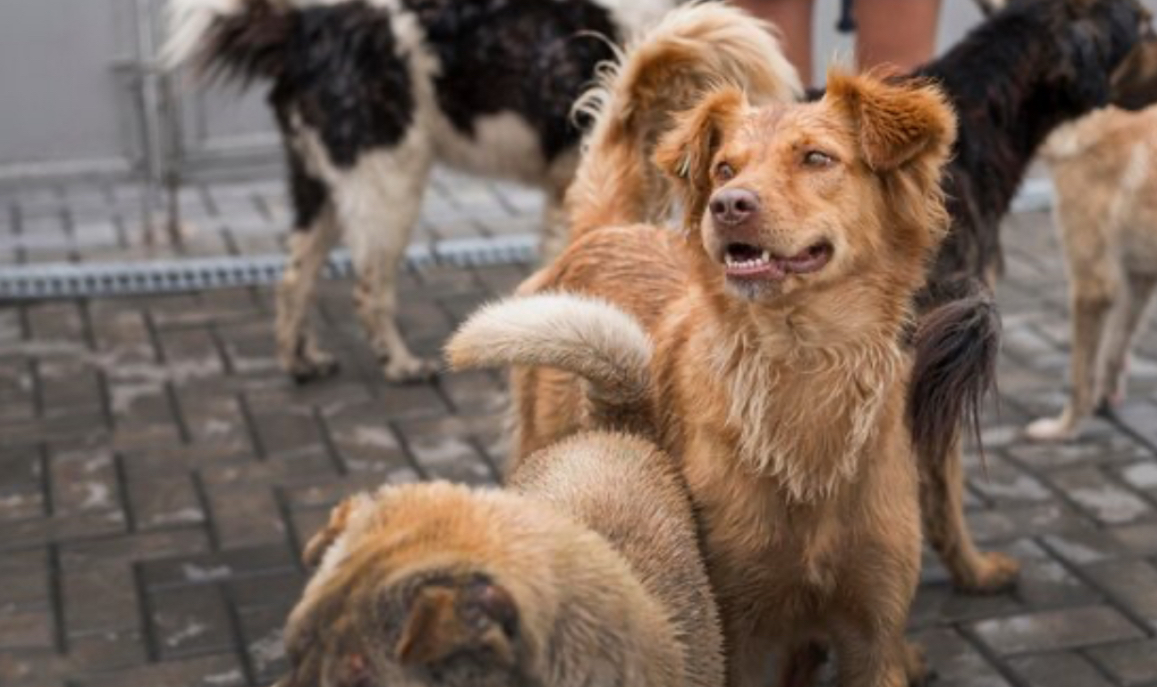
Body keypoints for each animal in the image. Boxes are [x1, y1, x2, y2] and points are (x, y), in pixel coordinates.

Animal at [165, 0, 694, 379]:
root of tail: (305, 27)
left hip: (320, 185)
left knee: (295, 278)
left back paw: (301, 361)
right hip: (387, 184)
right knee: (368, 289)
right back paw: (400, 365)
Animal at [1027, 105, 1157, 441]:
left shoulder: (1092, 285)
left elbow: (1079, 375)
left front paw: (1064, 428)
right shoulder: (1138, 277)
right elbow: (1115, 348)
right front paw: (1106, 400)